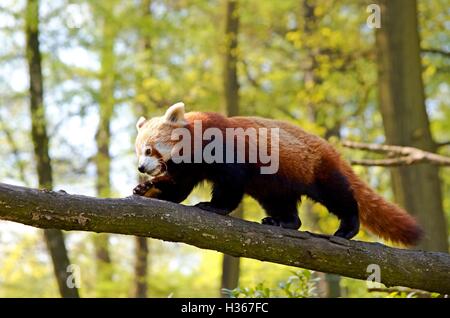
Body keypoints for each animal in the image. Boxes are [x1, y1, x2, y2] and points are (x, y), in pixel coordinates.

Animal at [133, 102, 422, 246]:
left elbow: (231, 184)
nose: (140, 168)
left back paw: (348, 227)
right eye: (138, 151)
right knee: (281, 203)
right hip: (276, 186)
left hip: (317, 169)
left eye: (149, 150)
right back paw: (283, 222)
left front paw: (214, 207)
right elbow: (177, 188)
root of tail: (330, 148)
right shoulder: (187, 168)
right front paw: (146, 189)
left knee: (339, 197)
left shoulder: (227, 149)